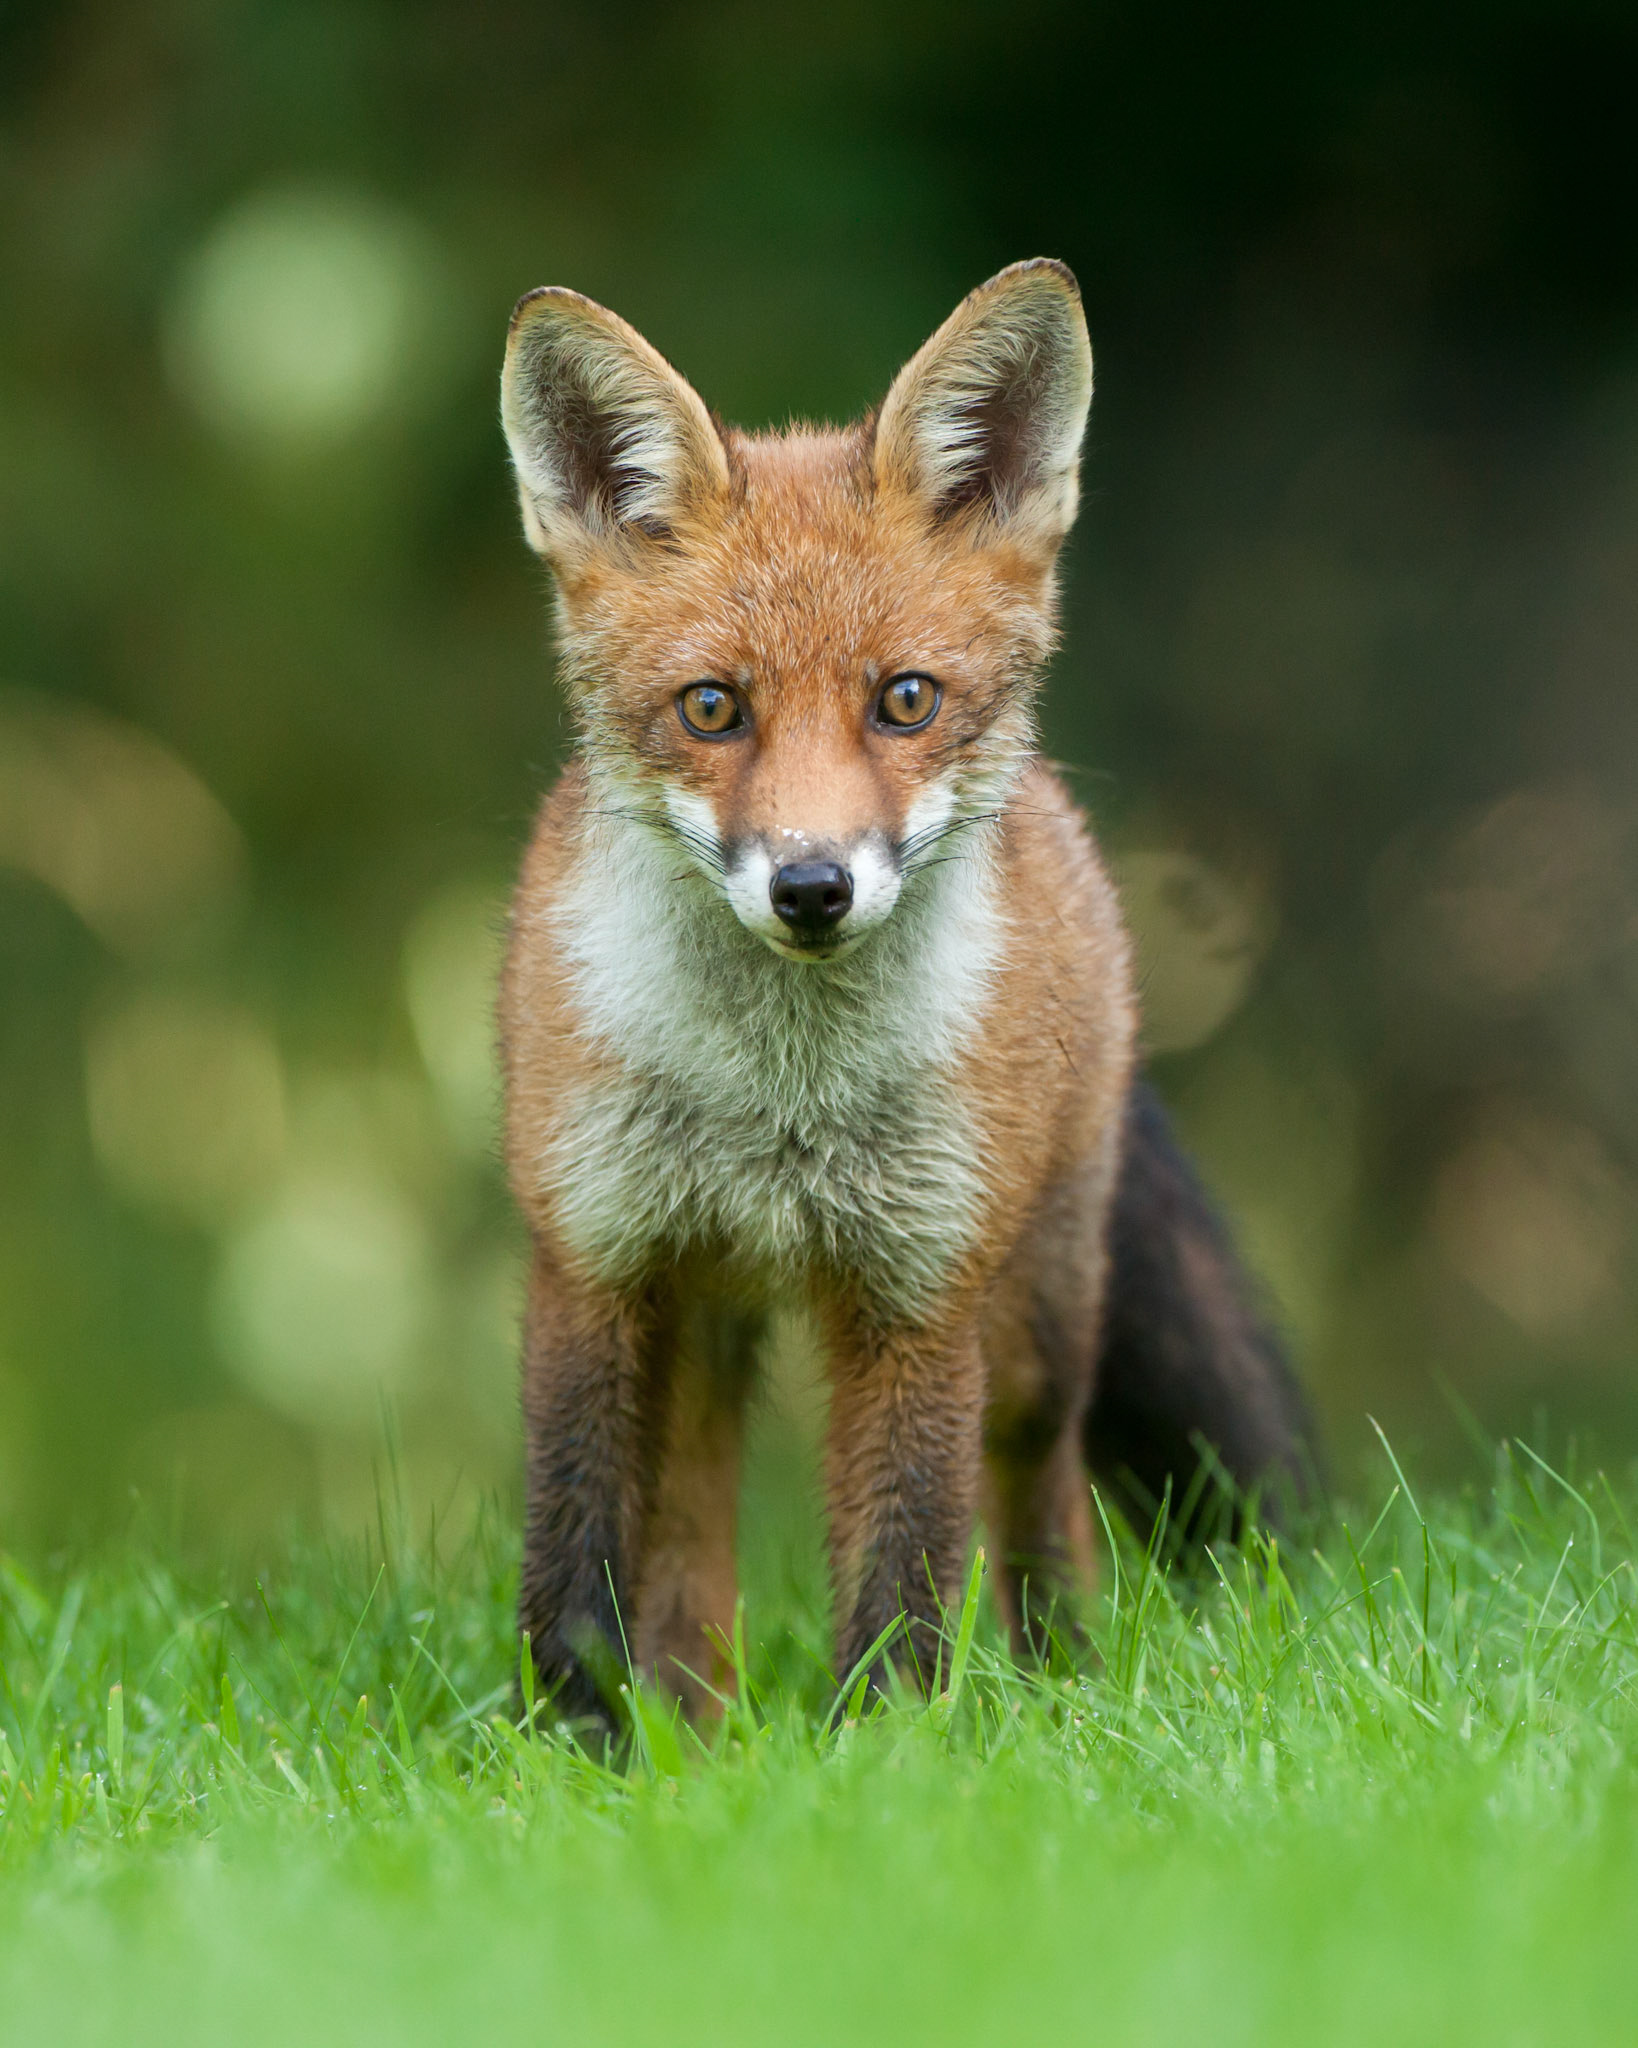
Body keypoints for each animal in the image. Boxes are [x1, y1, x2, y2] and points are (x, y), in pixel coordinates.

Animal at [496, 258, 1314, 1722]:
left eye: (905, 700)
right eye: (712, 708)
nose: (812, 887)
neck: (770, 1100)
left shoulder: (918, 1287)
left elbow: (905, 1567)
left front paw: (891, 1755)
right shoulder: (592, 1256)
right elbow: (577, 1557)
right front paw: (577, 1749)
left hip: (1040, 1313)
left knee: (1042, 1496)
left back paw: (1059, 1690)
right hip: (703, 1325)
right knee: (692, 1533)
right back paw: (697, 1732)